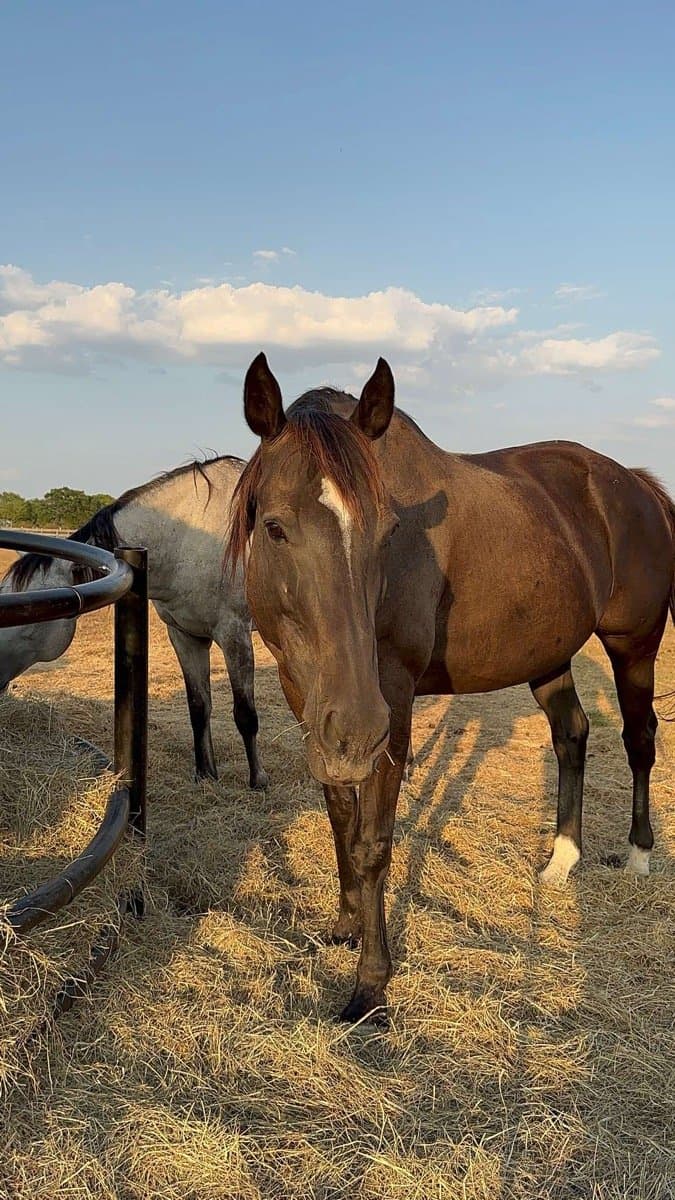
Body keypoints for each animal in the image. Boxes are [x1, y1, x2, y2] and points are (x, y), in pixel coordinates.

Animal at [0, 456, 268, 790]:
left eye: (29, 617)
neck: (192, 538)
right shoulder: (184, 634)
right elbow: (198, 706)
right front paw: (205, 774)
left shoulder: (235, 635)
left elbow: (245, 714)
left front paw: (259, 781)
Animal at [226, 352, 675, 1024]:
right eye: (275, 527)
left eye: (389, 531)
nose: (357, 728)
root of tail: (639, 486)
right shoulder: (309, 702)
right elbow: (339, 820)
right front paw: (345, 926)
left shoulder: (392, 703)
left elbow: (373, 842)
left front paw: (370, 984)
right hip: (547, 655)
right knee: (572, 735)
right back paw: (561, 860)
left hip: (634, 646)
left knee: (640, 738)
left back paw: (639, 854)